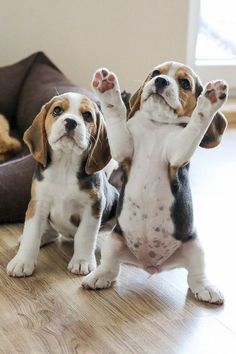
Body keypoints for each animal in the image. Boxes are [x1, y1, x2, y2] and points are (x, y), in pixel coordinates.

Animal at [6, 91, 119, 276]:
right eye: (57, 110)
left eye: (87, 115)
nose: (71, 122)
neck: (65, 165)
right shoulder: (38, 203)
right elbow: (31, 234)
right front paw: (22, 261)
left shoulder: (93, 207)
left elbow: (85, 236)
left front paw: (82, 261)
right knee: (50, 233)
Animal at [82, 62, 229, 306]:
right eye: (156, 73)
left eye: (185, 83)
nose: (160, 81)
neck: (156, 126)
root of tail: (151, 265)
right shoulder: (124, 149)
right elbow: (116, 117)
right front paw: (108, 90)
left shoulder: (177, 155)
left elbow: (195, 125)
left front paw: (210, 100)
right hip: (115, 239)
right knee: (111, 267)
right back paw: (99, 276)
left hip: (195, 245)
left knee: (196, 275)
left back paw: (206, 289)